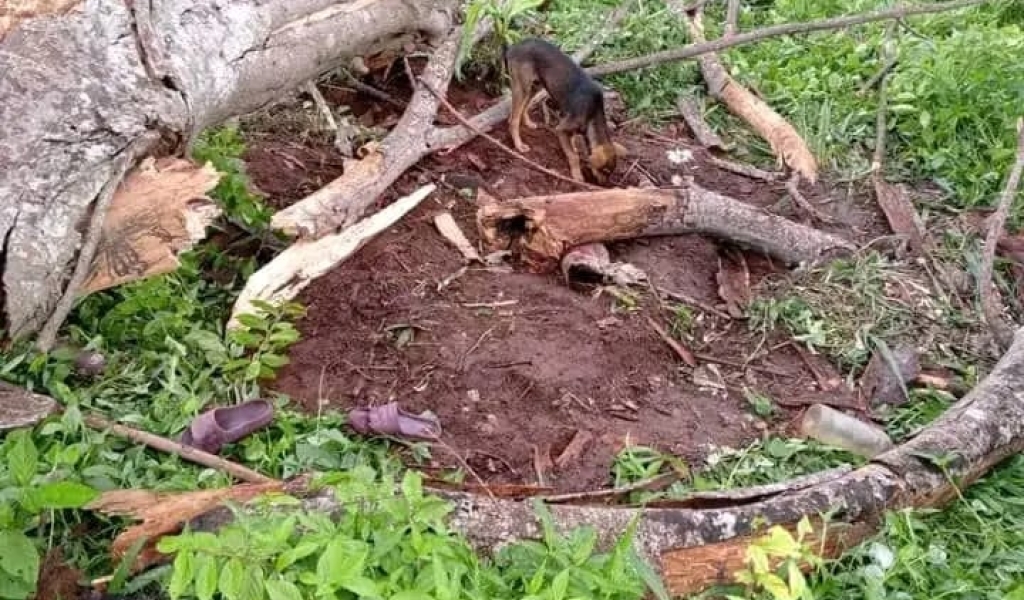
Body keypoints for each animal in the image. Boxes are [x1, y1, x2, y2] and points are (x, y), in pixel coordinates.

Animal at [503, 37, 627, 183]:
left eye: (609, 173)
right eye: (604, 171)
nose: (602, 184)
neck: (592, 113)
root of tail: (514, 46)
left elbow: (572, 142)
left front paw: (572, 147)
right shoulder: (561, 129)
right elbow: (574, 157)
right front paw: (577, 175)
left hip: (536, 85)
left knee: (523, 106)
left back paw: (528, 122)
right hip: (522, 86)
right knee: (514, 119)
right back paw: (519, 144)